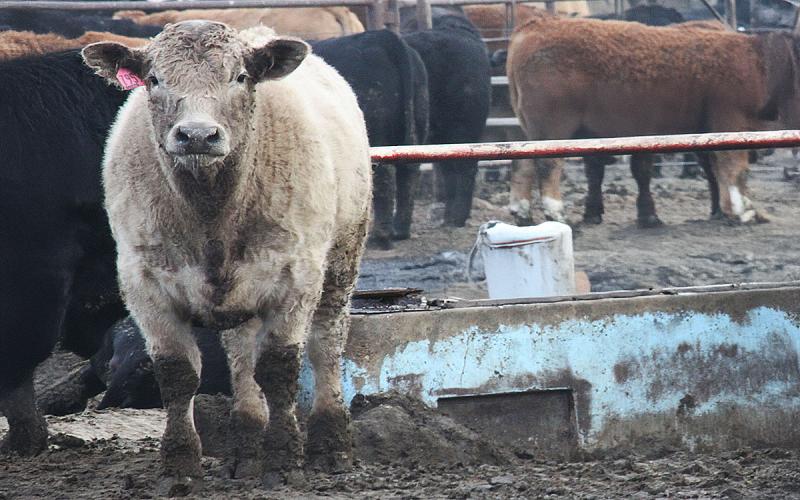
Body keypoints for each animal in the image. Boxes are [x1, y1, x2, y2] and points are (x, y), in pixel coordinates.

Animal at [81, 21, 372, 492]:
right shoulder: (144, 284)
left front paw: (283, 461)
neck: (212, 213)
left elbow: (279, 369)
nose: (198, 135)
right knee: (241, 358)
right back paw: (246, 447)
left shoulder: (295, 278)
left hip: (341, 261)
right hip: (242, 298)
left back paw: (330, 445)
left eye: (239, 76)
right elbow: (178, 374)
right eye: (154, 78)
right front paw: (179, 465)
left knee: (326, 344)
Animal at [402, 10, 492, 227]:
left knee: (465, 168)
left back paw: (457, 218)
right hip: (443, 135)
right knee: (449, 169)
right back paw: (449, 217)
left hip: (462, 128)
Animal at [506, 12, 793, 226]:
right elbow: (734, 168)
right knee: (548, 166)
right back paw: (556, 213)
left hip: (533, 133)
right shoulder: (730, 122)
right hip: (552, 131)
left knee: (523, 164)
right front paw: (742, 211)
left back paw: (522, 213)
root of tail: (531, 29)